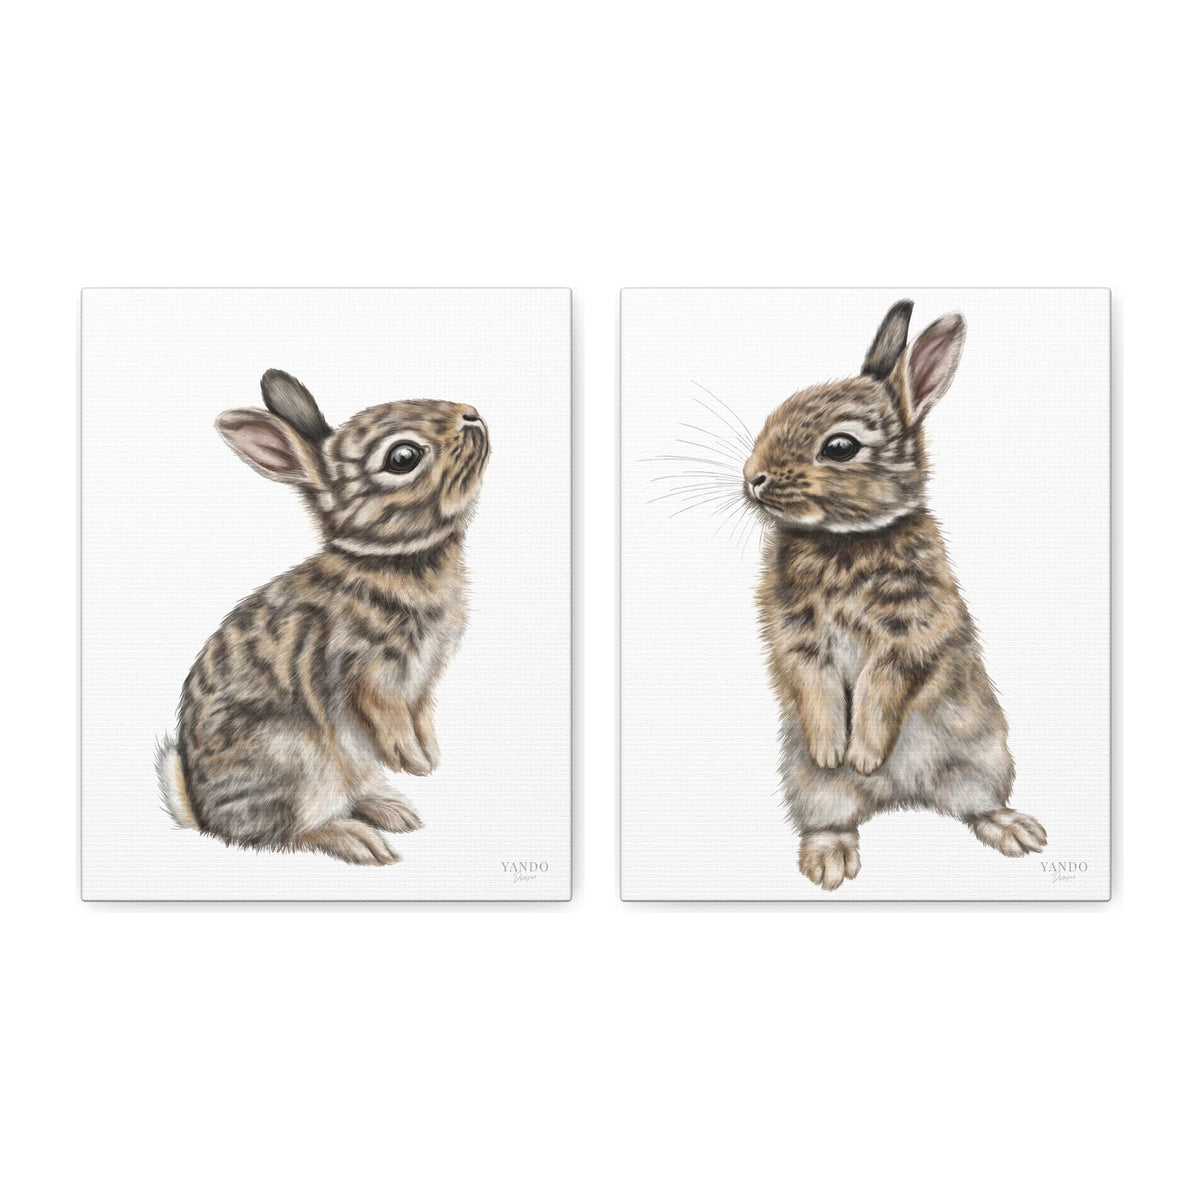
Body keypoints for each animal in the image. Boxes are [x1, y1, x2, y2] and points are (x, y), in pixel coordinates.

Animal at [155, 369, 490, 865]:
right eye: (403, 457)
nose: (471, 414)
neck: (389, 559)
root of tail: (205, 818)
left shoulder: (424, 678)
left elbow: (421, 712)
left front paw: (428, 757)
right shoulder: (365, 670)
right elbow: (387, 714)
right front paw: (412, 761)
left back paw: (392, 811)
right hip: (295, 757)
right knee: (286, 833)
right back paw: (360, 841)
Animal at [744, 301, 1045, 890]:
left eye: (840, 447)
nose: (752, 477)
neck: (847, 539)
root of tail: (900, 797)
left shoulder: (912, 630)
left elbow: (883, 688)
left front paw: (863, 754)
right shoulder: (797, 635)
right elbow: (813, 684)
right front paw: (834, 750)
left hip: (984, 758)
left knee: (975, 803)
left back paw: (1014, 829)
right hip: (808, 784)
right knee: (832, 813)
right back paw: (830, 858)